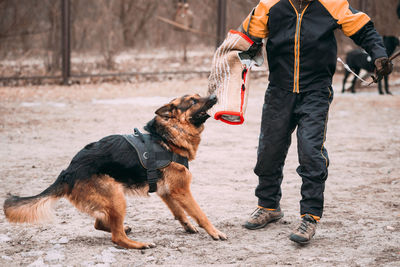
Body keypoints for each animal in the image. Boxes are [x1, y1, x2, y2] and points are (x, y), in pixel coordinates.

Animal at [3, 93, 227, 249]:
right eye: (192, 101)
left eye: (199, 96)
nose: (214, 97)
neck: (167, 137)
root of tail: (69, 170)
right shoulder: (182, 190)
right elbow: (199, 213)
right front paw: (214, 232)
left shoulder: (167, 192)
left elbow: (179, 212)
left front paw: (188, 226)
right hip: (117, 197)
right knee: (116, 237)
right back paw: (138, 244)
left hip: (112, 200)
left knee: (100, 223)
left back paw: (122, 227)